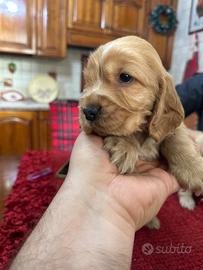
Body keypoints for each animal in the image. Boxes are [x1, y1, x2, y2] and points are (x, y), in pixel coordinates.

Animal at [79, 35, 203, 229]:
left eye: (125, 77)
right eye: (89, 80)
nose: (87, 111)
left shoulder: (172, 126)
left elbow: (177, 140)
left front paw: (194, 170)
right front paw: (124, 145)